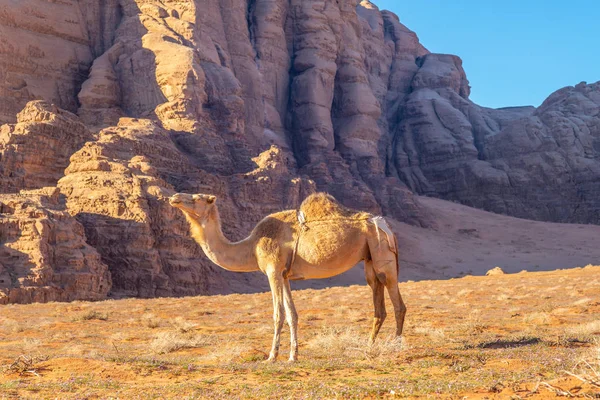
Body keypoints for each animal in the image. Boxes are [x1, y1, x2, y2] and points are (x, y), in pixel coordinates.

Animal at [166, 191, 406, 362]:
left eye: (198, 198)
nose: (174, 197)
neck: (251, 247)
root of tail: (385, 225)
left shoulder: (273, 271)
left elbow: (277, 314)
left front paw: (272, 357)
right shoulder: (285, 275)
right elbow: (292, 315)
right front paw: (293, 356)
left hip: (382, 253)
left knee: (398, 303)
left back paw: (396, 345)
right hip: (369, 259)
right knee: (378, 303)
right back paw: (369, 345)